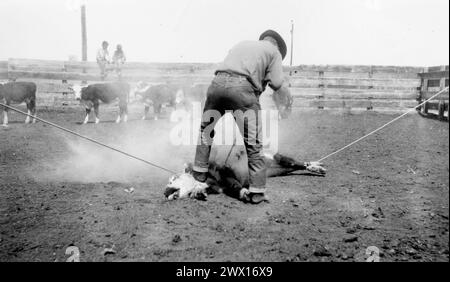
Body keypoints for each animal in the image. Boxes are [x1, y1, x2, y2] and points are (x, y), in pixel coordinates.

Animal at [163, 144, 326, 202]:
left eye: (173, 178)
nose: (165, 192)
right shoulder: (221, 185)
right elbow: (232, 187)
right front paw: (199, 193)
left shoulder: (223, 170)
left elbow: (234, 183)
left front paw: (246, 193)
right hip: (277, 170)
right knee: (292, 167)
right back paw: (317, 166)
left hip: (277, 157)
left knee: (296, 162)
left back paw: (315, 166)